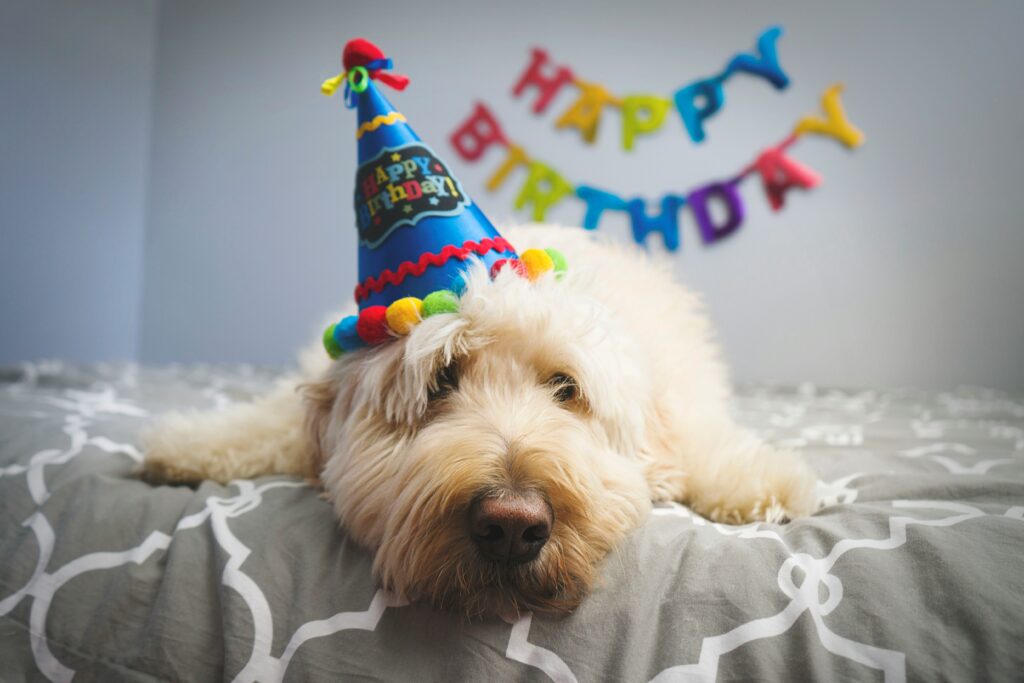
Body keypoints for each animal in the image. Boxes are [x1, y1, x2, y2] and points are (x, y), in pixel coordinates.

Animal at [142, 225, 815, 618]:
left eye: (565, 388)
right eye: (440, 381)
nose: (512, 526)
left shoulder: (681, 407)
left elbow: (706, 448)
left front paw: (770, 483)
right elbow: (268, 423)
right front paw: (184, 443)